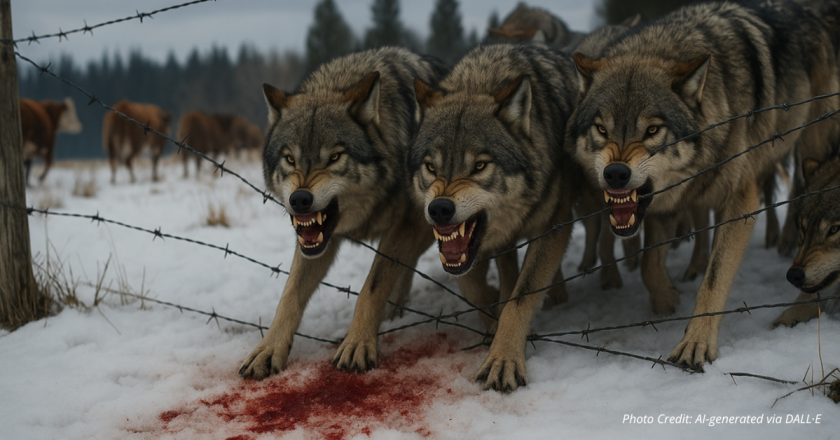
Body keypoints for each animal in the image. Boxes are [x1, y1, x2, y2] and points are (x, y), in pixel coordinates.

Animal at [238, 47, 449, 380]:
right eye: (290, 159)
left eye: (335, 157)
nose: (300, 199)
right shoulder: (318, 242)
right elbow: (289, 295)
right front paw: (268, 349)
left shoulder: (406, 224)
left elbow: (373, 285)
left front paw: (358, 343)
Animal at [412, 43, 582, 392]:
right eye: (431, 167)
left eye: (479, 166)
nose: (439, 209)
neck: (481, 79)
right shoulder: (468, 251)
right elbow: (473, 289)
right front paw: (492, 313)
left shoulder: (553, 226)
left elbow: (521, 297)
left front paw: (503, 360)